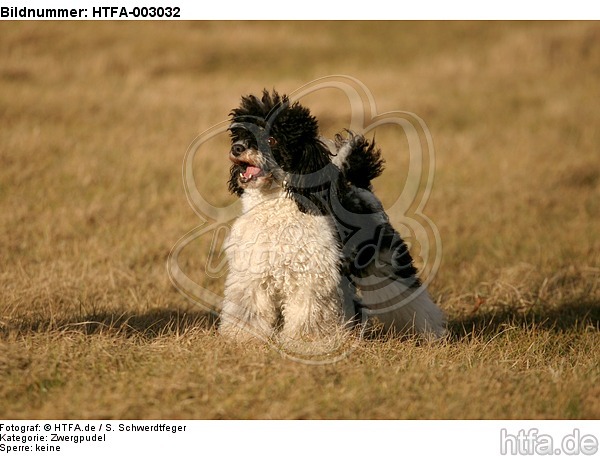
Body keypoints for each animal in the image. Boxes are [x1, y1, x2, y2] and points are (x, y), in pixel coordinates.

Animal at [220, 91, 446, 344]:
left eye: (272, 140)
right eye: (241, 135)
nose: (237, 148)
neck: (275, 209)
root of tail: (359, 188)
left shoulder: (312, 277)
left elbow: (307, 313)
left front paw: (306, 341)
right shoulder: (251, 274)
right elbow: (248, 309)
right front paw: (242, 337)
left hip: (385, 264)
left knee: (412, 300)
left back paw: (430, 333)